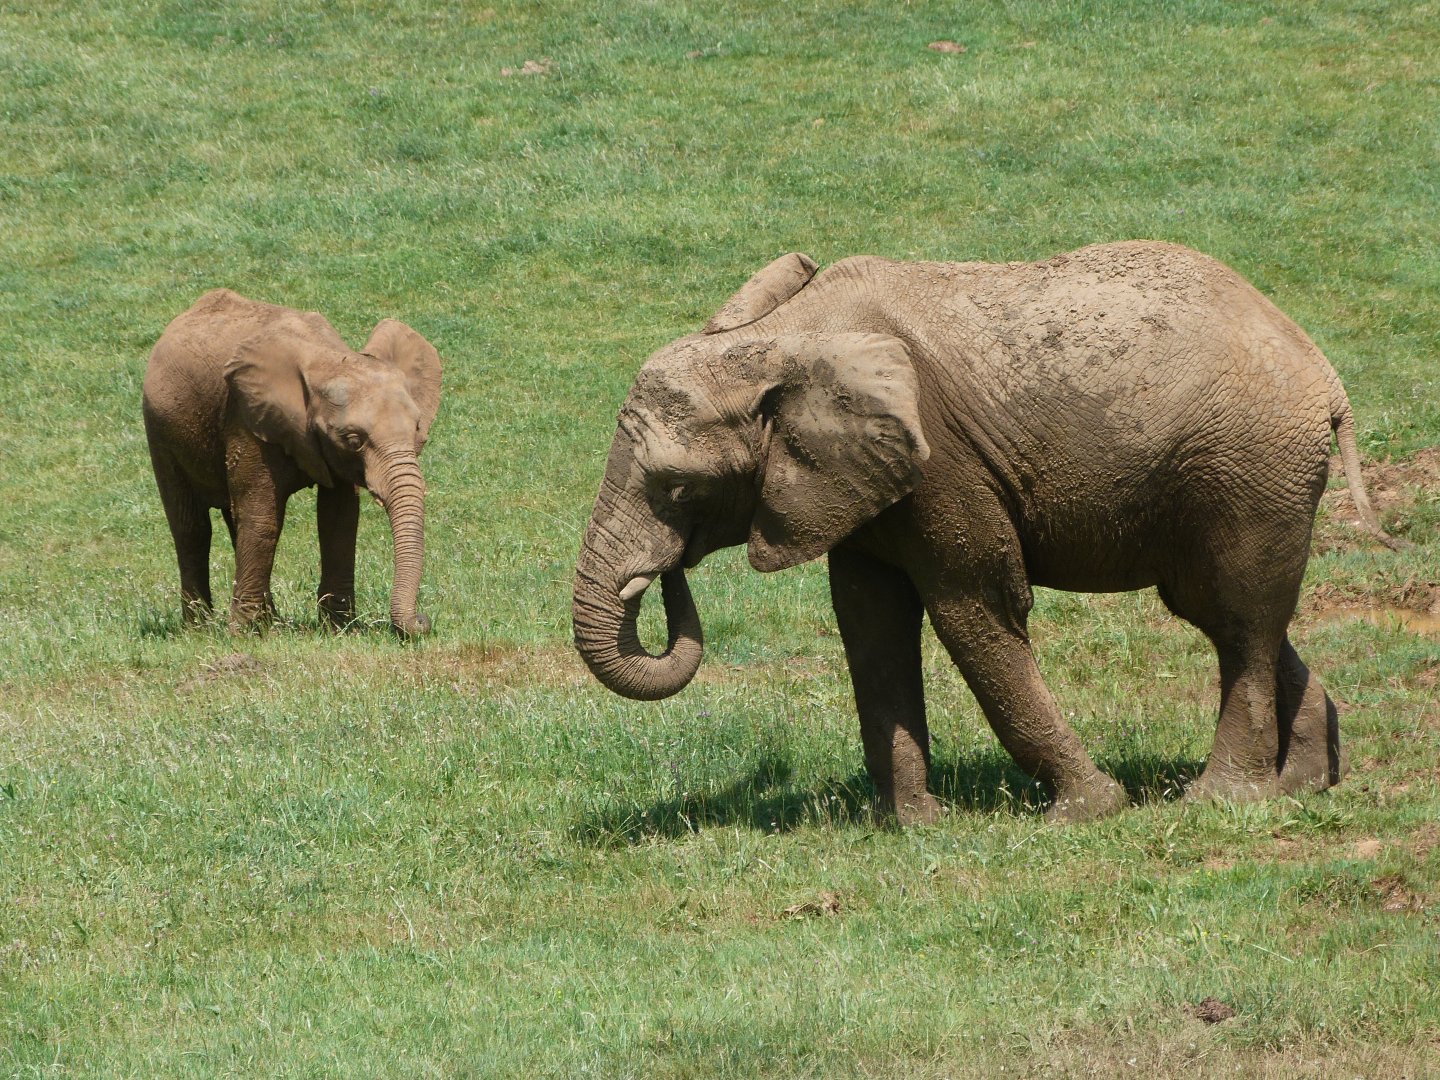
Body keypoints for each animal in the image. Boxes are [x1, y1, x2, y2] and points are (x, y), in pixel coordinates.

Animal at [143, 289, 442, 636]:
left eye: (418, 432)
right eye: (353, 439)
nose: (422, 620)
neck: (327, 358)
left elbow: (339, 518)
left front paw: (340, 630)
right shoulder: (247, 419)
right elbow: (262, 518)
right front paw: (244, 636)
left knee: (234, 519)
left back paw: (269, 621)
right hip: (159, 429)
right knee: (192, 528)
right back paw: (201, 629)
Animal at [573, 241, 1399, 824]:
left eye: (679, 487)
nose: (664, 573)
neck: (781, 338)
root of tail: (1325, 377)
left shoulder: (942, 462)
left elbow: (975, 611)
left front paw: (1088, 812)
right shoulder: (858, 481)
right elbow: (870, 626)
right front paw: (912, 826)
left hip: (1246, 468)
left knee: (1237, 620)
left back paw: (1223, 800)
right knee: (1228, 610)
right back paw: (1303, 787)